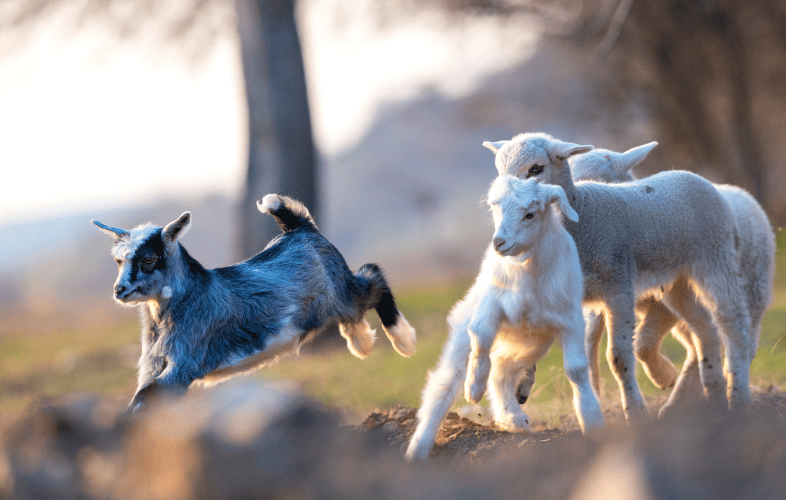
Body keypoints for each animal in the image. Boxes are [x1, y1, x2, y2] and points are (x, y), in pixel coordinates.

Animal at [93, 194, 416, 411]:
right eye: (119, 260)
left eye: (148, 259)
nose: (119, 290)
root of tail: (299, 229)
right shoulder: (152, 364)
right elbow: (145, 397)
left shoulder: (185, 362)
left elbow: (143, 399)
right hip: (337, 299)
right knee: (356, 310)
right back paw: (361, 342)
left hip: (341, 291)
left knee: (373, 277)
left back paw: (403, 341)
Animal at [405, 175, 603, 462]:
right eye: (495, 210)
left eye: (529, 214)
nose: (498, 242)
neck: (527, 274)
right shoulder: (491, 303)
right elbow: (481, 333)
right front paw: (473, 388)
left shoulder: (569, 320)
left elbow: (576, 370)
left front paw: (592, 420)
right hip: (473, 327)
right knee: (446, 382)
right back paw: (419, 448)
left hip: (530, 343)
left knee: (500, 372)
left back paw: (512, 417)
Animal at [483, 133, 752, 418]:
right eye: (499, 170)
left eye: (536, 169)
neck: (584, 213)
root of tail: (696, 178)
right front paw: (522, 385)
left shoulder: (618, 287)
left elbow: (618, 356)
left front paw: (635, 411)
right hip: (676, 281)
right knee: (705, 328)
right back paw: (714, 395)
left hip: (716, 258)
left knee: (733, 324)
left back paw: (737, 396)